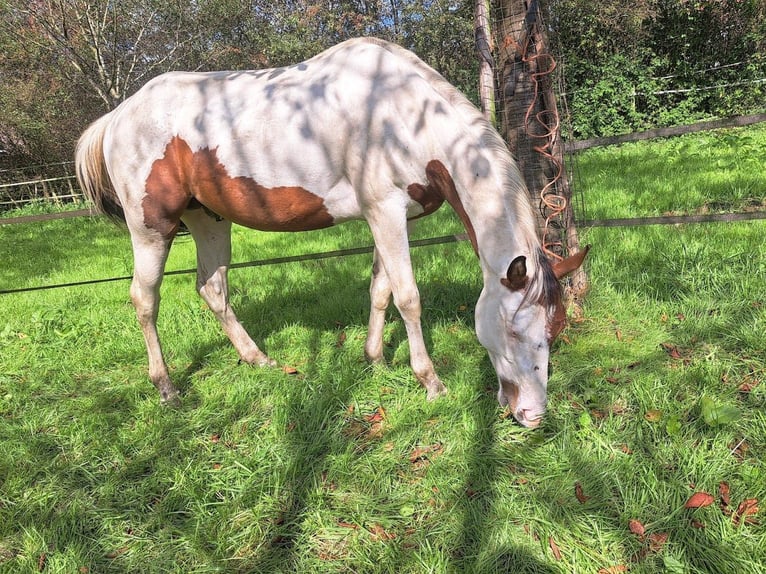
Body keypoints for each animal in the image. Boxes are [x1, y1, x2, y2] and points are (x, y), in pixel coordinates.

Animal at [76, 37, 588, 428]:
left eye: (556, 328)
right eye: (515, 330)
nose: (532, 415)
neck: (402, 114)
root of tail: (118, 116)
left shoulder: (389, 219)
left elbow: (381, 290)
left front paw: (375, 358)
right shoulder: (385, 212)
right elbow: (408, 297)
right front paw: (430, 382)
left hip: (208, 219)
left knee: (212, 289)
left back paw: (260, 361)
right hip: (152, 228)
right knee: (145, 299)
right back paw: (166, 387)